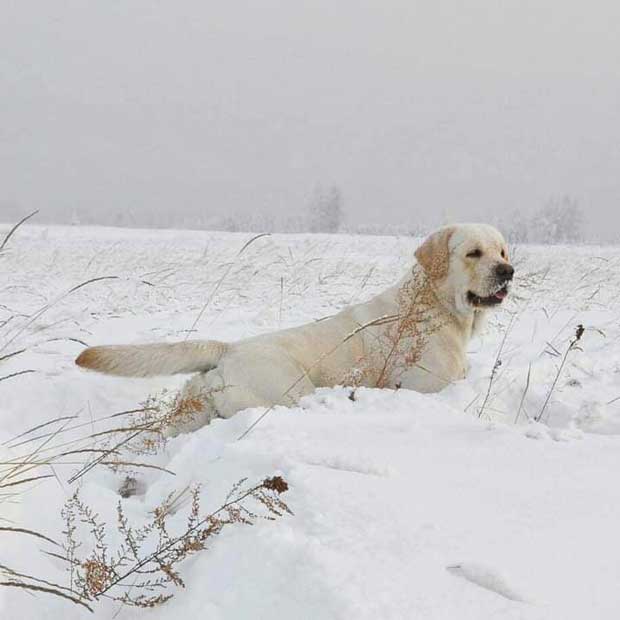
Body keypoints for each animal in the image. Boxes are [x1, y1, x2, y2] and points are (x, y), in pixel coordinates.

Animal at [76, 224, 512, 436]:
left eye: (503, 251)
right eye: (473, 253)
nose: (508, 271)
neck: (435, 304)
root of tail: (227, 349)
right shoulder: (427, 388)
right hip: (290, 392)